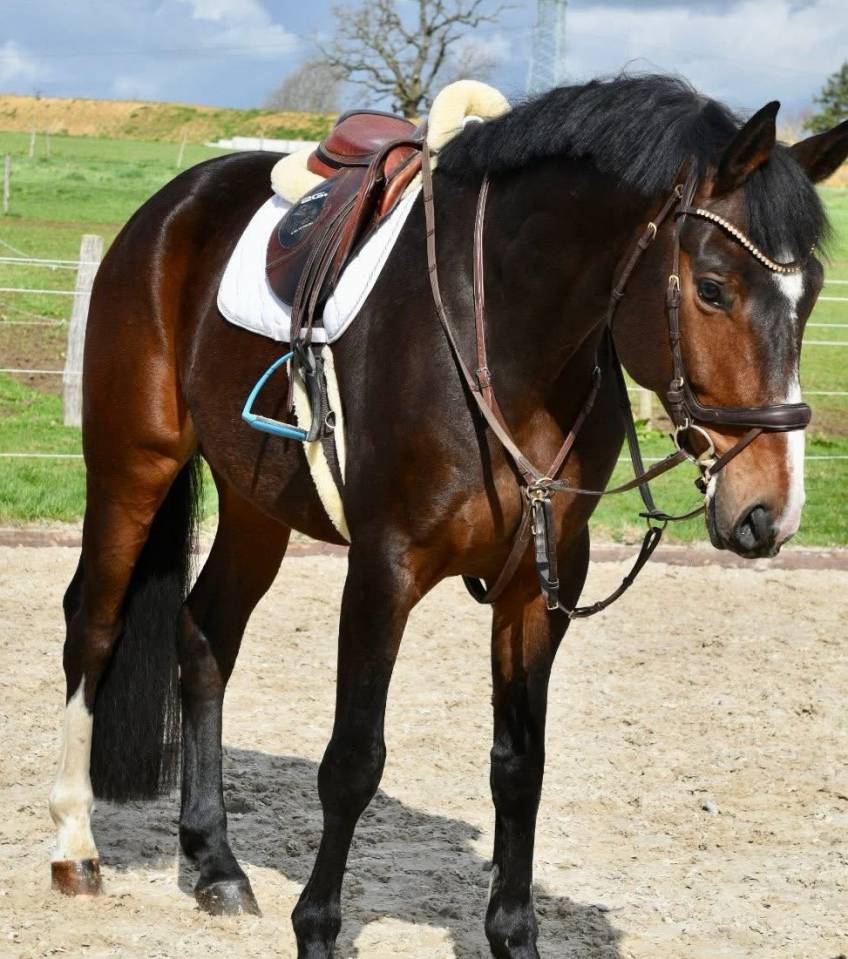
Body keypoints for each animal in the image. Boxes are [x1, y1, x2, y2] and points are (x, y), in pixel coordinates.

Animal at [48, 75, 848, 957]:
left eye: (810, 294)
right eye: (712, 288)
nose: (770, 511)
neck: (504, 334)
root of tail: (174, 203)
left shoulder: (540, 586)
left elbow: (520, 766)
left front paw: (514, 935)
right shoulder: (384, 568)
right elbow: (353, 760)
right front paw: (317, 929)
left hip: (257, 505)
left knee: (204, 637)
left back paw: (216, 863)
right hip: (133, 464)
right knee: (93, 624)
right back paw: (75, 847)